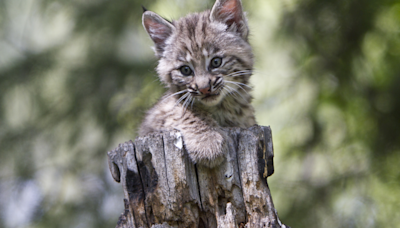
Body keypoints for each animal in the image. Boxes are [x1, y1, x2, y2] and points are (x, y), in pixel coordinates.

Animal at [141, 0, 256, 167]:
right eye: (185, 70)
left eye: (216, 62)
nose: (204, 89)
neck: (222, 106)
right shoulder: (155, 118)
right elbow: (184, 110)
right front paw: (207, 143)